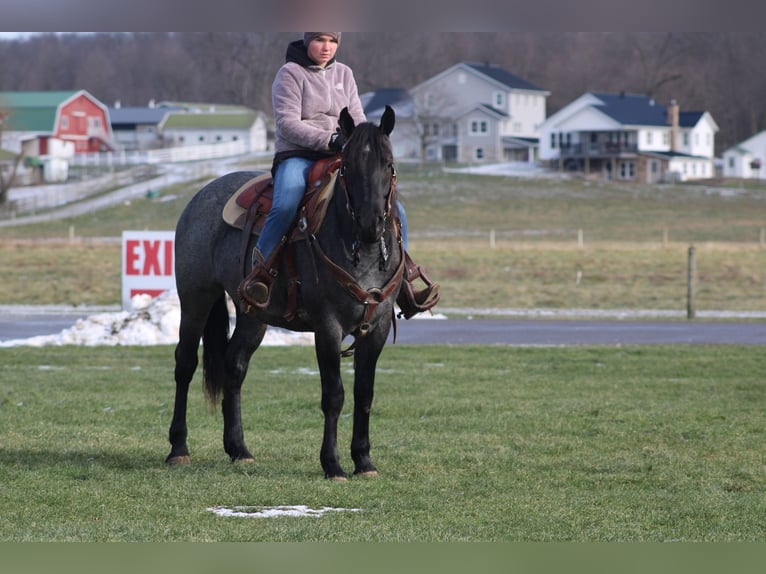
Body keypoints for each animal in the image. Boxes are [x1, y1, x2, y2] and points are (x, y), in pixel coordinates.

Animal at [166, 106, 403, 480]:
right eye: (348, 166)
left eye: (388, 163)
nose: (370, 223)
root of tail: (200, 197)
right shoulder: (327, 327)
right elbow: (333, 395)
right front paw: (332, 464)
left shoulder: (376, 328)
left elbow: (364, 394)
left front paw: (364, 461)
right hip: (195, 299)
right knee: (185, 364)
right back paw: (178, 448)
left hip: (253, 315)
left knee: (234, 366)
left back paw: (239, 449)